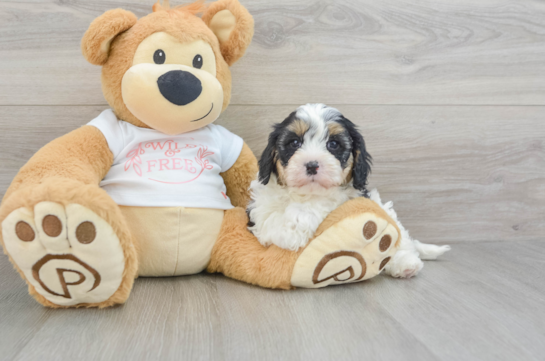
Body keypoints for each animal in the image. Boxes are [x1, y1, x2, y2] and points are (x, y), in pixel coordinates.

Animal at [249, 102, 448, 278]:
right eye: (295, 142)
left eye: (333, 144)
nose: (312, 165)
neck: (309, 193)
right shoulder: (259, 211)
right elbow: (272, 219)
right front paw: (291, 234)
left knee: (400, 239)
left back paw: (405, 263)